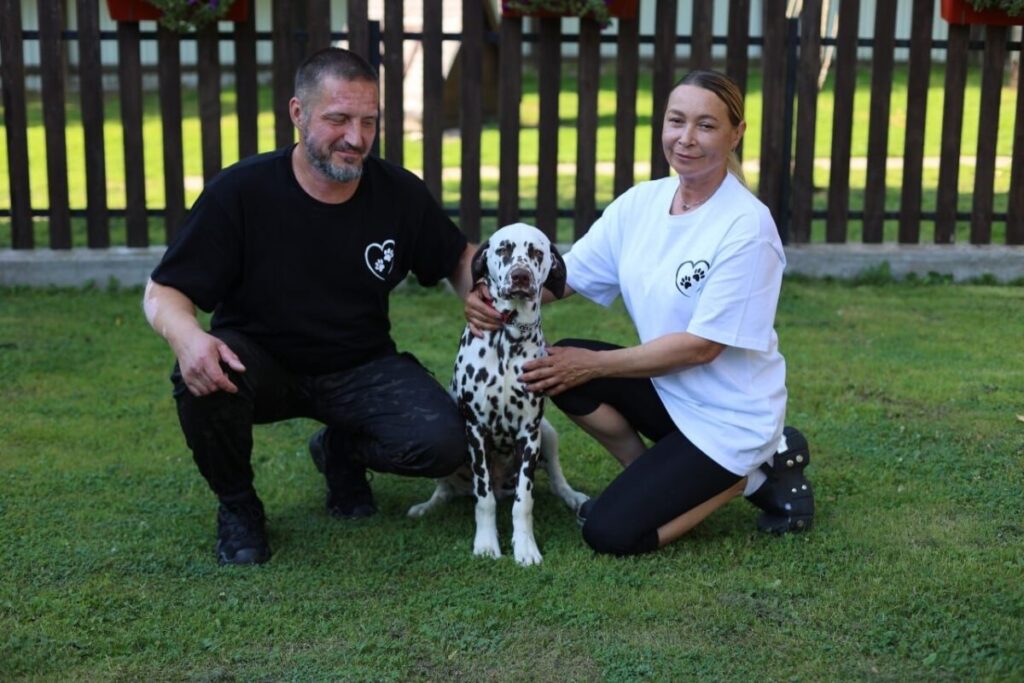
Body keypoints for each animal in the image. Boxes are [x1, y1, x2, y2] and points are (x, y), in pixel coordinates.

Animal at [408, 223, 588, 566]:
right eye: (503, 248)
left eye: (536, 252)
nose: (520, 277)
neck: (508, 337)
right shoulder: (476, 430)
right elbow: (484, 499)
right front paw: (487, 543)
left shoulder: (529, 433)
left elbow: (524, 502)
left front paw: (525, 547)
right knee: (447, 489)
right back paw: (428, 505)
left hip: (548, 432)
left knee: (554, 478)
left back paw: (572, 496)